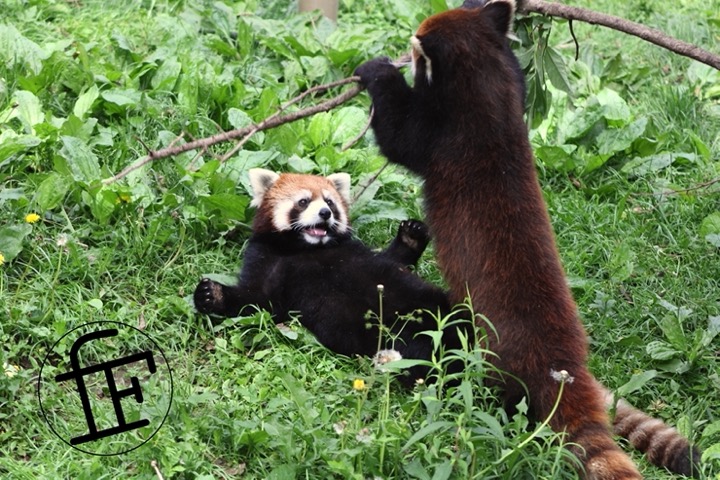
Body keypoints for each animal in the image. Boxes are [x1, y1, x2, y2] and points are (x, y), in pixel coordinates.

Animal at [195, 169, 466, 386]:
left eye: (329, 202)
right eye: (303, 201)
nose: (325, 213)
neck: (306, 249)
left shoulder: (358, 252)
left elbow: (395, 260)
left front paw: (412, 234)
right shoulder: (265, 260)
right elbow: (257, 299)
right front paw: (211, 295)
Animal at [354, 0, 696, 476]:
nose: (409, 41)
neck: (485, 97)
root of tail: (561, 365)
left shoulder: (440, 138)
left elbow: (396, 137)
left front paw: (378, 71)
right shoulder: (510, 96)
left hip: (493, 359)